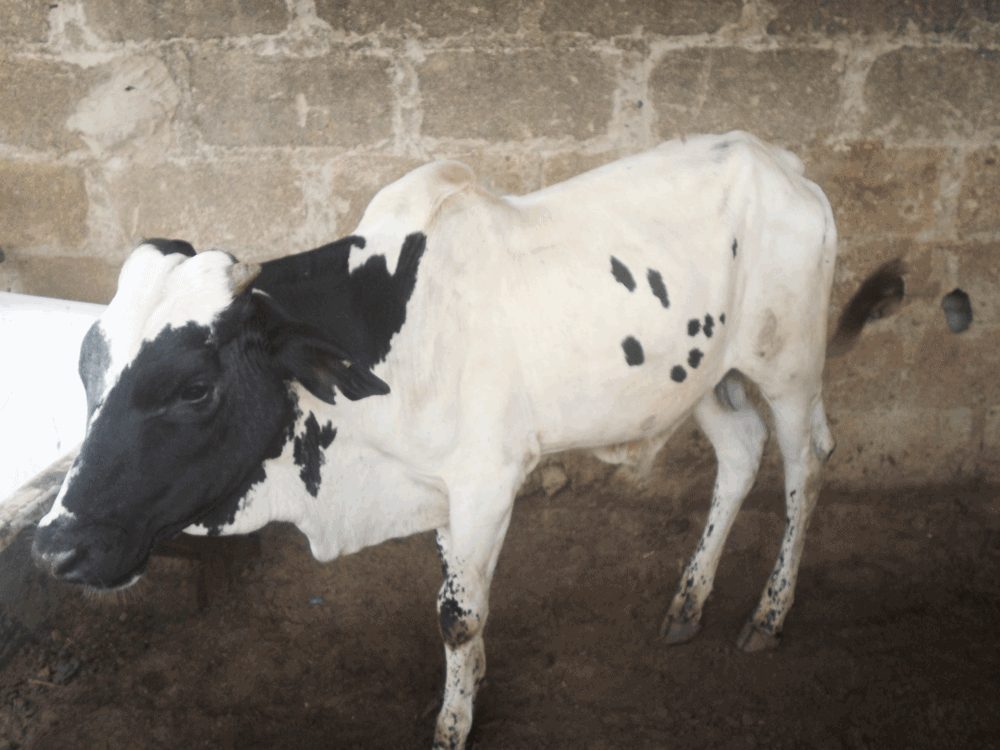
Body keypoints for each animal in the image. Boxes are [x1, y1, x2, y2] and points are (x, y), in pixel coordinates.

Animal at [32, 131, 900, 749]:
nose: (53, 548)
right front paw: (469, 689)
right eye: (86, 368)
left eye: (195, 387)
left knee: (805, 467)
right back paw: (688, 603)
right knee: (741, 453)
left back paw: (769, 615)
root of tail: (777, 159)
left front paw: (454, 725)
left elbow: (458, 614)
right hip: (704, 377)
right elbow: (461, 596)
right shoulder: (445, 494)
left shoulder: (487, 484)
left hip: (788, 365)